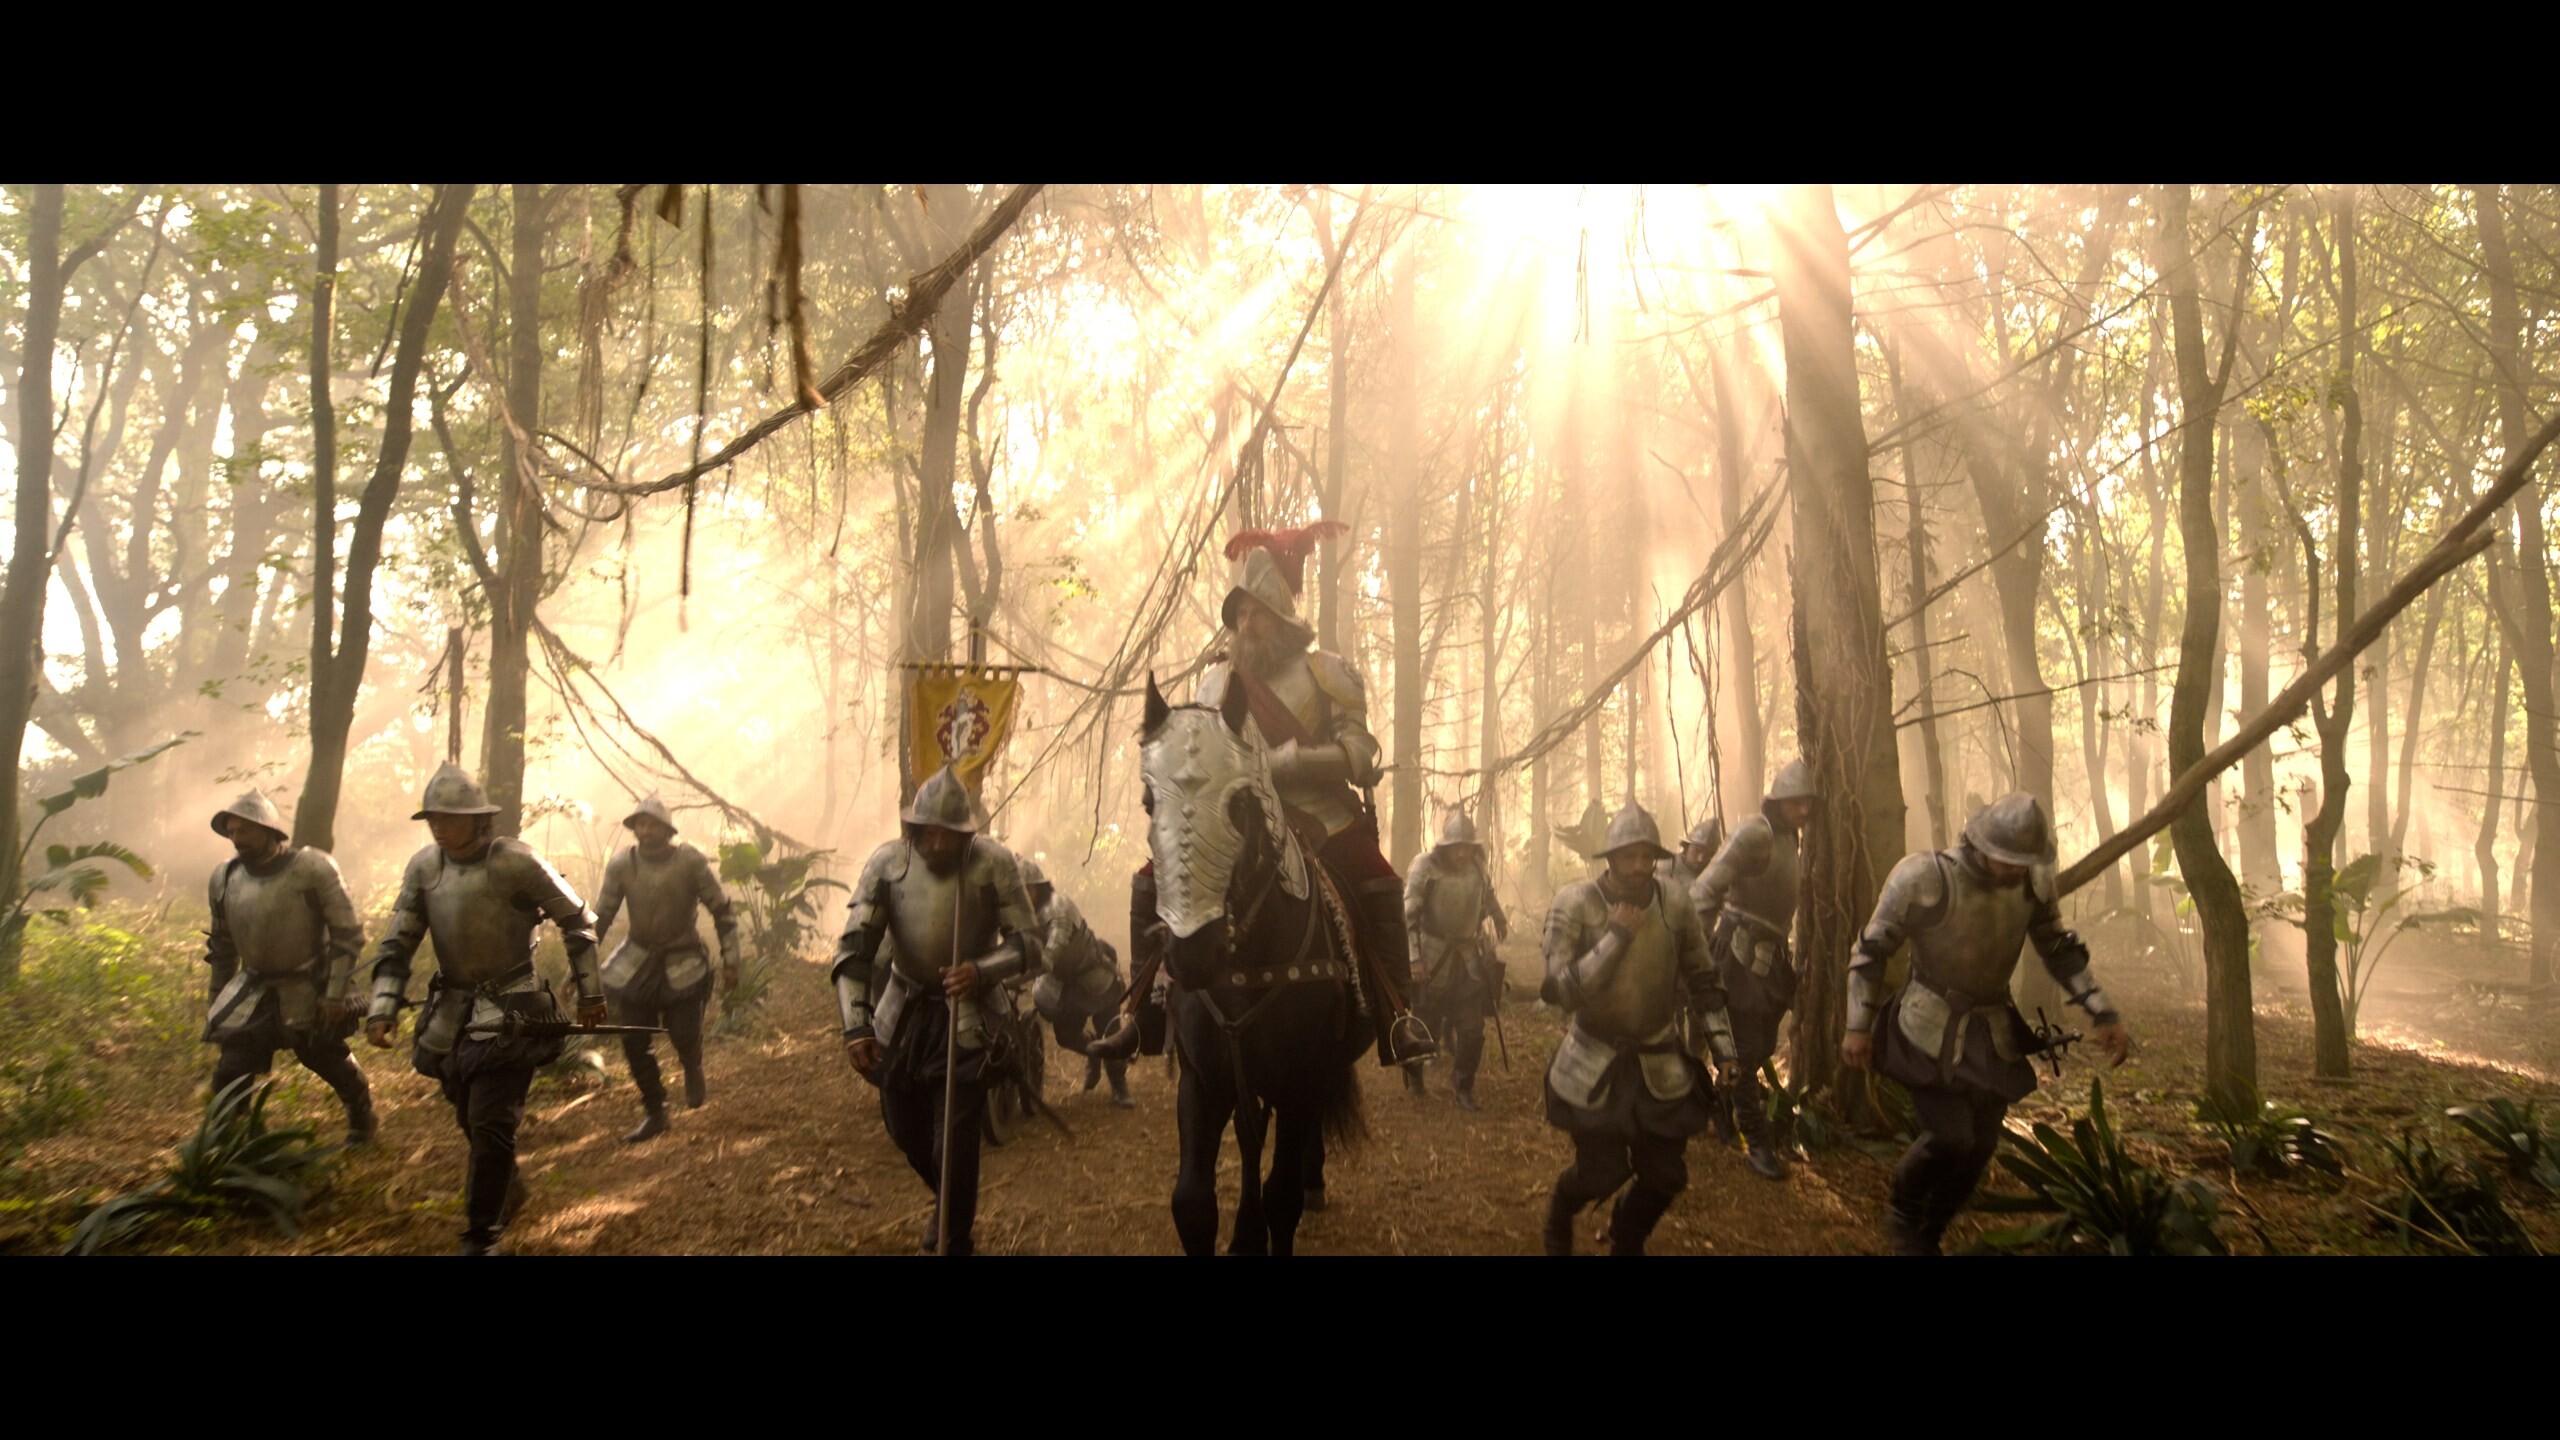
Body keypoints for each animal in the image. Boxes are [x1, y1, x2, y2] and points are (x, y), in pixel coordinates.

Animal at [1140, 672, 1365, 1255]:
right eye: (1150, 801)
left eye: (1240, 805)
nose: (1193, 955)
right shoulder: (1202, 1080)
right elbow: (1192, 1203)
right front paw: (1240, 1230)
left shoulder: (1299, 1080)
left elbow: (1280, 1195)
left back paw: (1309, 1184)